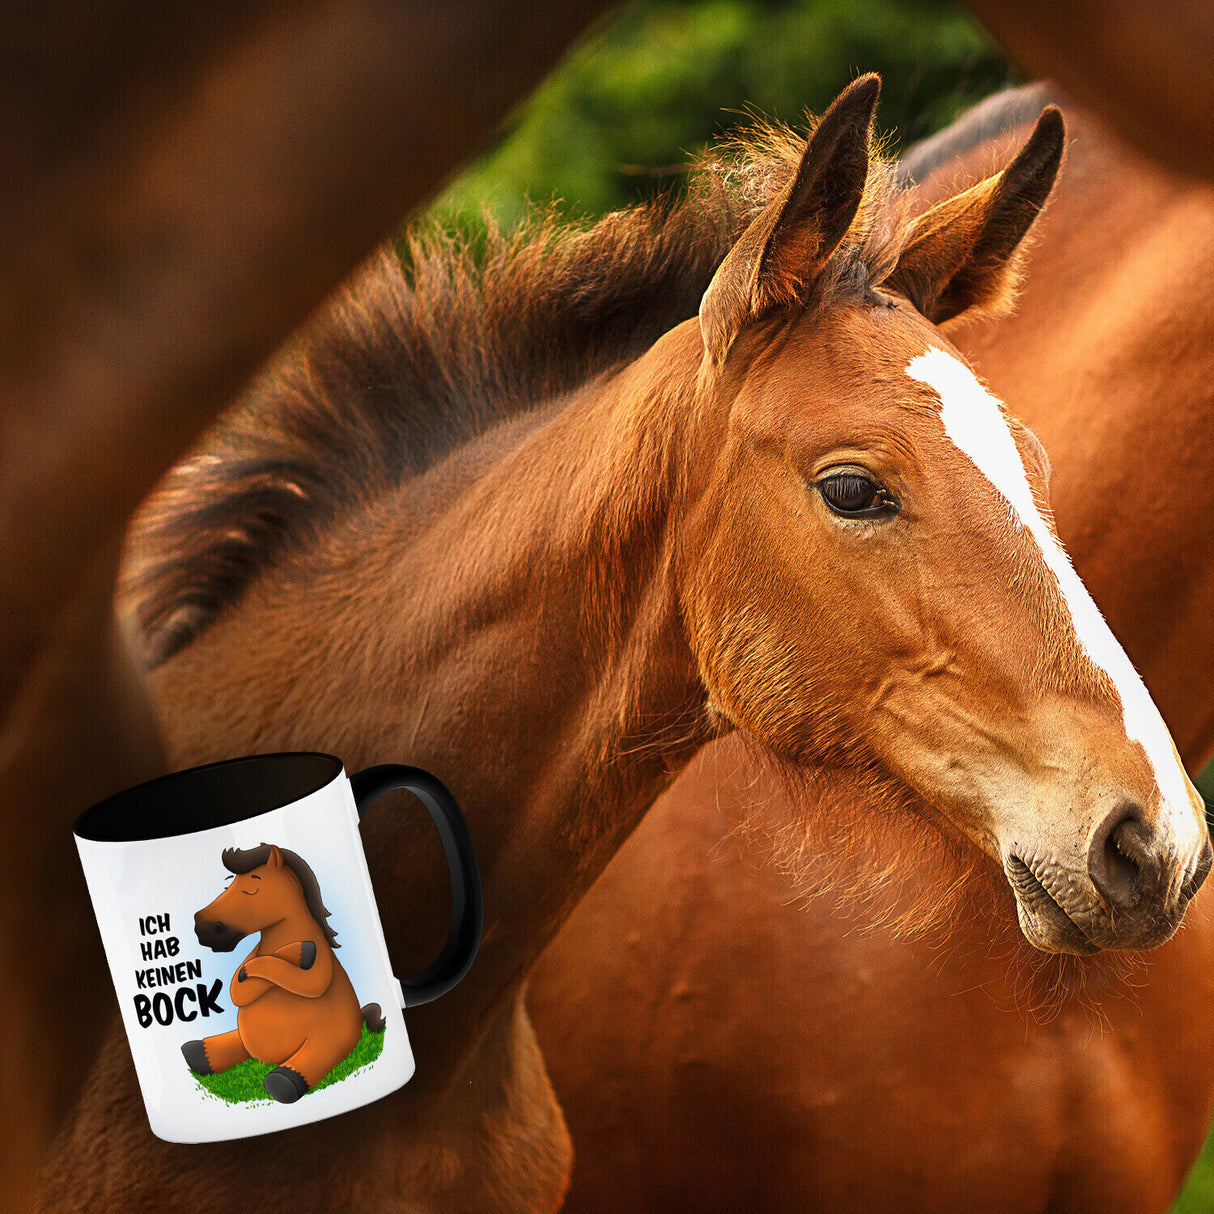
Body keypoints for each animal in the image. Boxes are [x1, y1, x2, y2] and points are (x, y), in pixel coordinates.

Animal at [185, 843, 383, 1103]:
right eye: (228, 885)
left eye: (253, 886)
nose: (203, 927)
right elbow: (238, 987)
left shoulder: (320, 967)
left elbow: (306, 979)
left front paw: (300, 951)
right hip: (245, 1041)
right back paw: (198, 1052)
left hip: (328, 1043)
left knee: (290, 1075)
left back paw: (285, 1077)